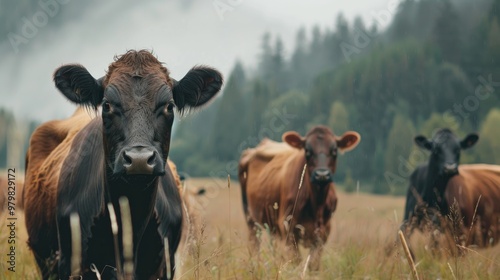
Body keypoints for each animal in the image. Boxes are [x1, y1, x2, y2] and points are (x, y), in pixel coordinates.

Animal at [238, 126, 360, 270]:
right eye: (307, 151)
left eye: (334, 150)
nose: (322, 174)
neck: (316, 204)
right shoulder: (288, 228)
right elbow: (295, 261)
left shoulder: (323, 232)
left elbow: (313, 264)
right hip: (251, 218)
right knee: (254, 244)